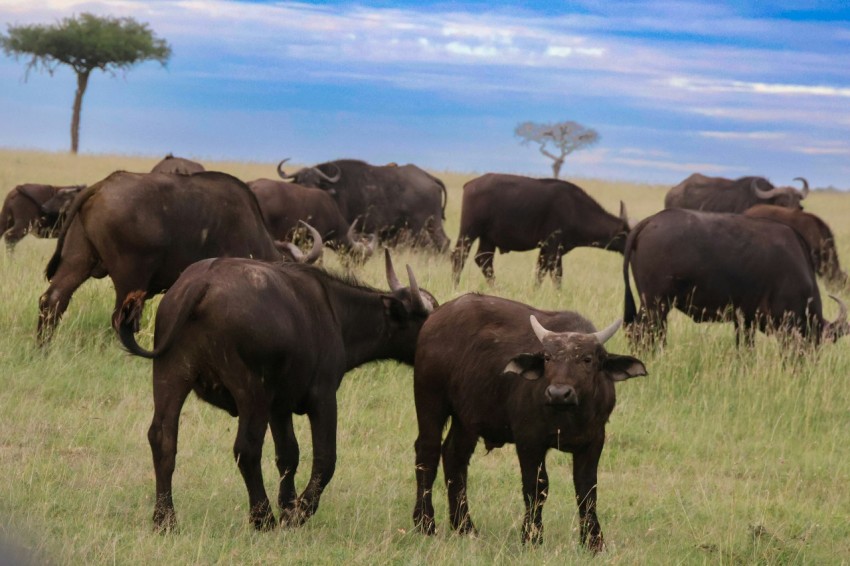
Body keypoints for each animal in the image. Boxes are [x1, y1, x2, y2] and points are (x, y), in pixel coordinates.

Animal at [38, 170, 321, 344]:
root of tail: (102, 186)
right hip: (131, 277)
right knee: (119, 318)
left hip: (77, 261)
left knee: (52, 301)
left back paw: (44, 349)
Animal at [113, 251, 436, 532]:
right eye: (424, 318)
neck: (335, 314)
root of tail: (200, 284)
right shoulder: (322, 398)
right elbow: (325, 459)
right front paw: (298, 512)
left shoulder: (279, 407)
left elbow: (288, 455)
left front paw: (288, 505)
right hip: (251, 391)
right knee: (246, 448)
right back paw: (262, 517)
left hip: (170, 375)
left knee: (163, 439)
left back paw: (165, 519)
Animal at [277, 158, 450, 251]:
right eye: (299, 181)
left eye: (316, 182)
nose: (305, 193)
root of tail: (429, 177)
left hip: (425, 225)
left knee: (442, 243)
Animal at [412, 293, 646, 550]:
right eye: (547, 358)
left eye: (587, 359)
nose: (558, 393)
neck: (568, 415)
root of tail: (434, 319)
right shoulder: (529, 440)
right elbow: (536, 487)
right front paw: (532, 537)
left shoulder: (593, 440)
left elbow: (587, 489)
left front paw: (593, 542)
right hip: (430, 400)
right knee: (427, 453)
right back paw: (425, 523)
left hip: (466, 418)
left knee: (455, 456)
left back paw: (465, 527)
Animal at [450, 173, 630, 286]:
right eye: (627, 235)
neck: (576, 209)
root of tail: (470, 184)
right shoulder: (550, 247)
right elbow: (547, 273)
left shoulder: (554, 250)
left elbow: (551, 274)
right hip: (469, 232)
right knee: (460, 256)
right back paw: (455, 286)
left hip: (488, 238)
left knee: (484, 260)